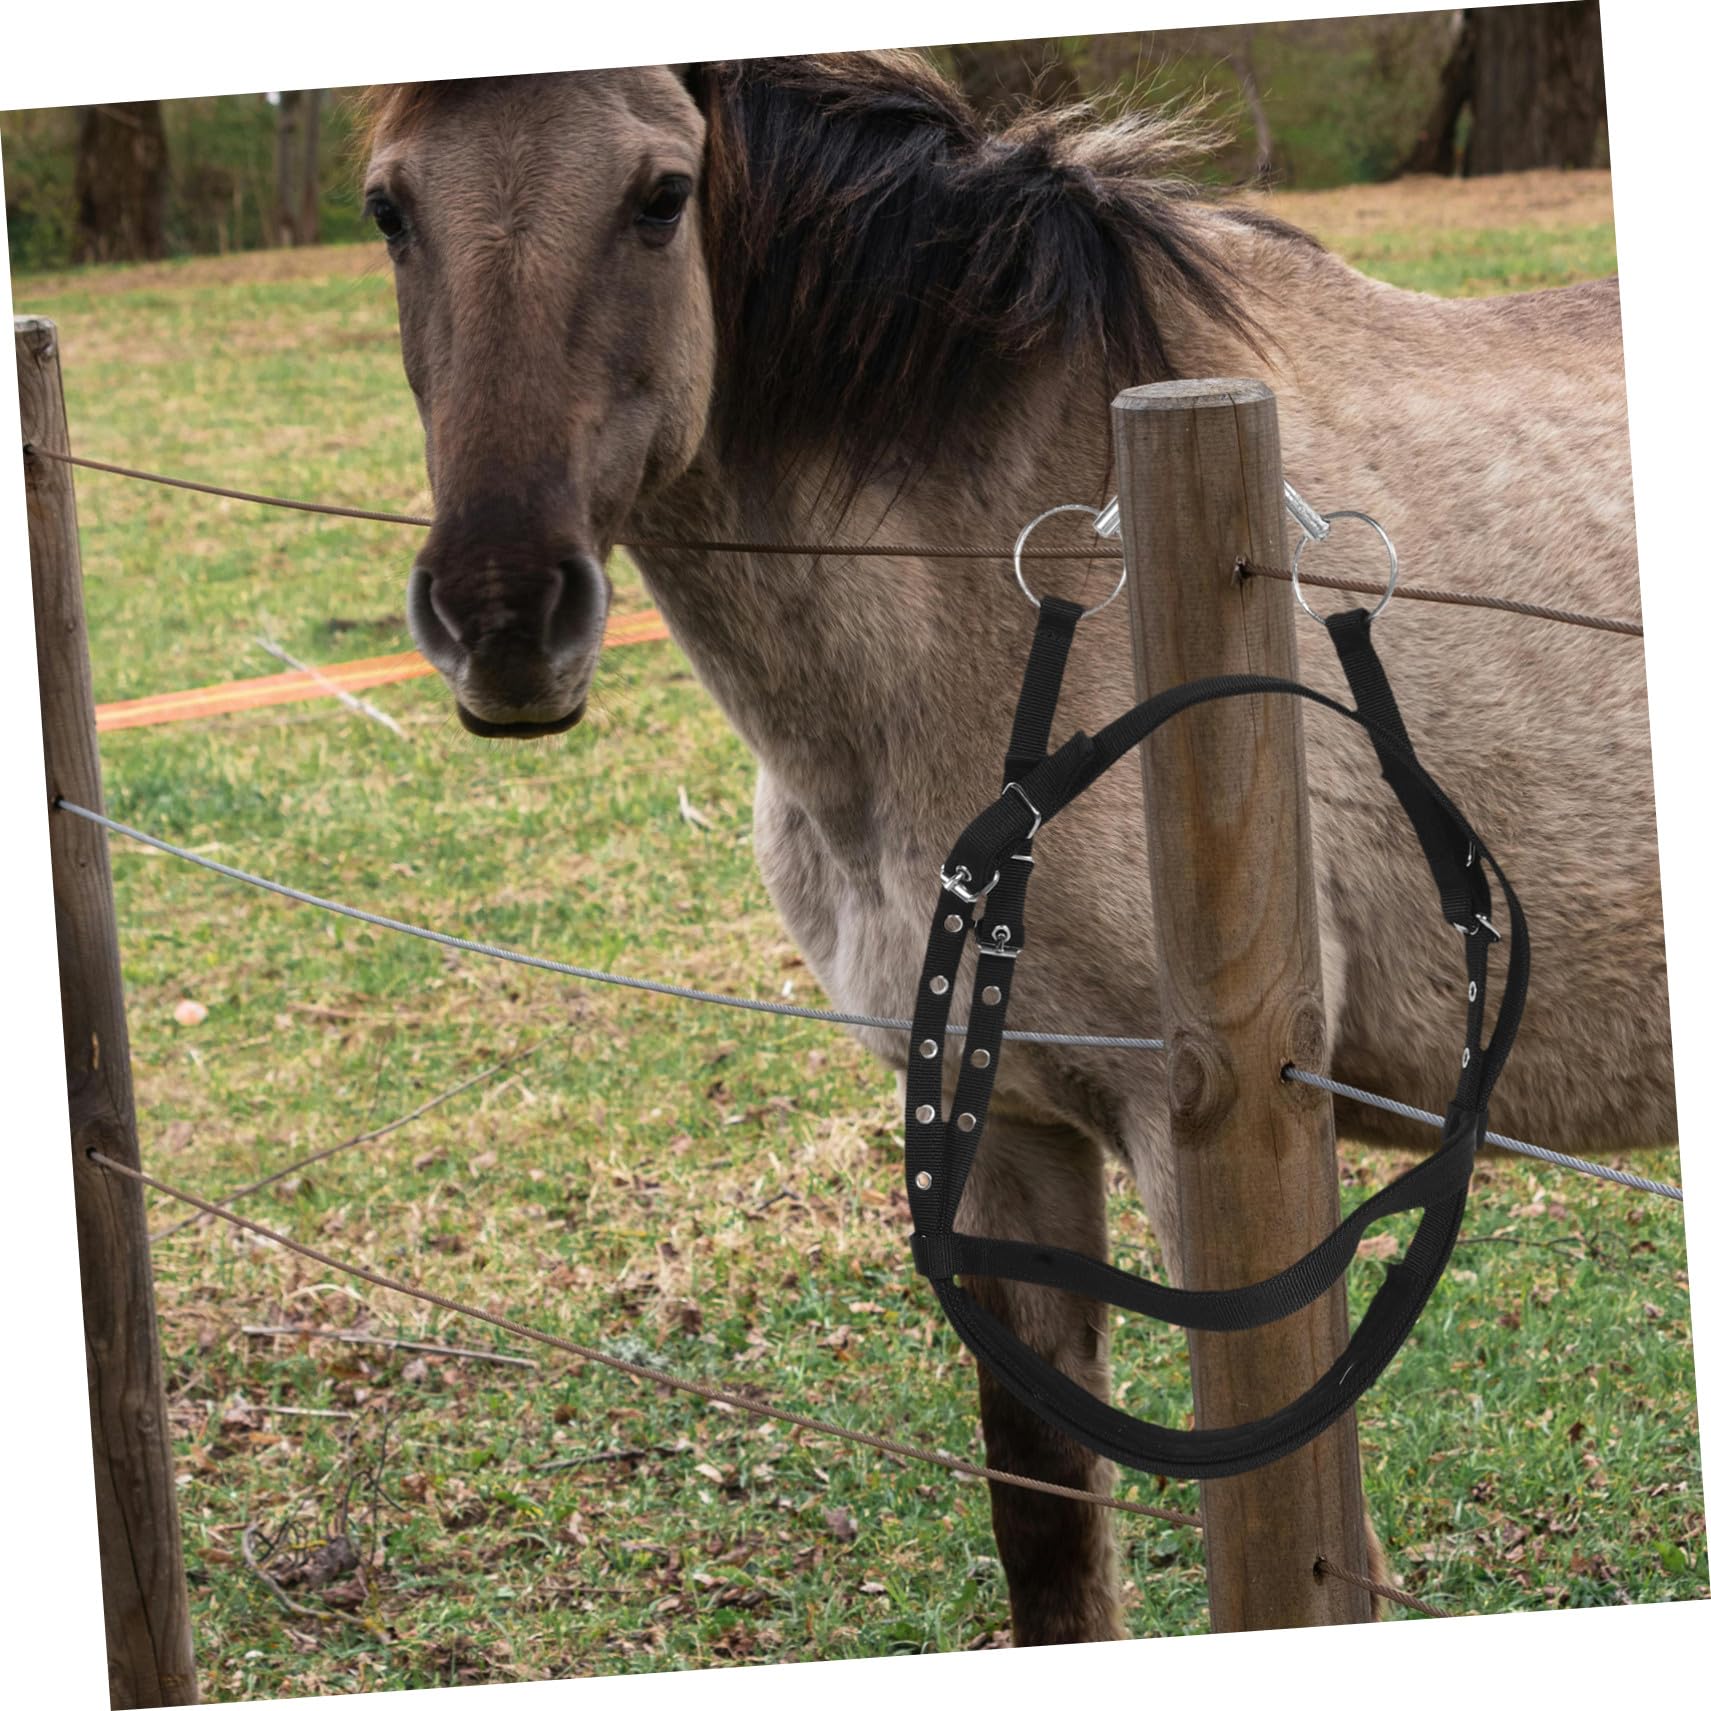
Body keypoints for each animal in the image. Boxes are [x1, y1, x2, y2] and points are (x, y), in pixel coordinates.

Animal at [359, 52, 1674, 1646]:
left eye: (660, 194)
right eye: (388, 208)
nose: (500, 619)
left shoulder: (1211, 1142)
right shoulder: (998, 1132)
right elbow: (1046, 1525)